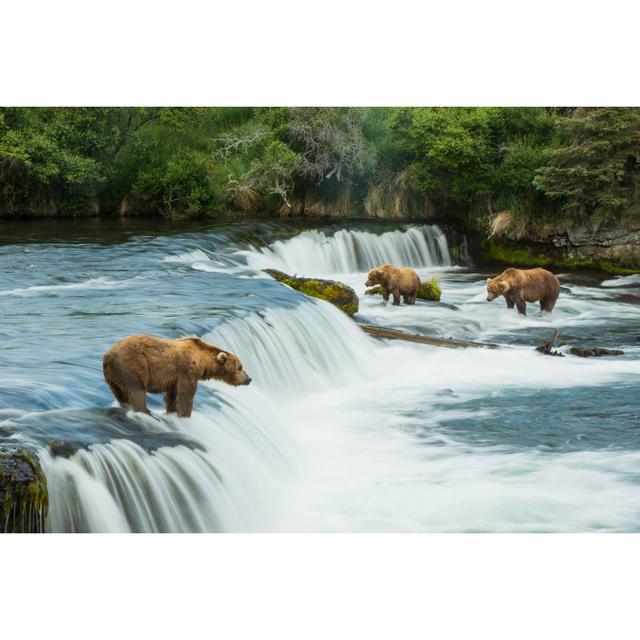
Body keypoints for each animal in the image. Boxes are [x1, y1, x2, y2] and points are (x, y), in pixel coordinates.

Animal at [102, 336, 250, 420]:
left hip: (112, 376)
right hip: (134, 364)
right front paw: (185, 415)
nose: (249, 379)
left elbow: (172, 395)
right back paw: (147, 413)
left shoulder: (174, 377)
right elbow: (186, 394)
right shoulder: (186, 371)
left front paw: (172, 412)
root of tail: (108, 354)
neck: (201, 362)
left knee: (120, 393)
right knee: (137, 390)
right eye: (240, 367)